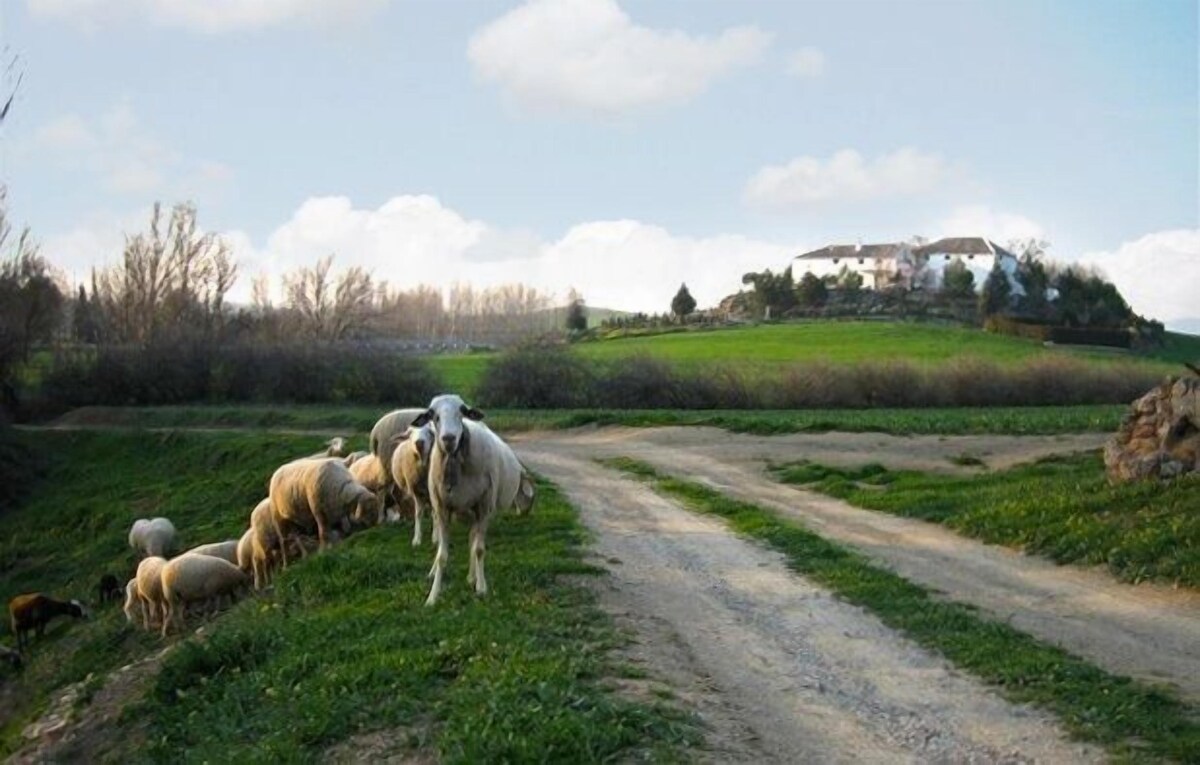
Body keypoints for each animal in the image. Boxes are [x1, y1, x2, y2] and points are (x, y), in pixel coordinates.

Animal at [410, 395, 528, 604]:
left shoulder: (483, 507)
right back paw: (437, 573)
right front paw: (433, 596)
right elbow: (442, 555)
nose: (449, 438)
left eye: (462, 412)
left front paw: (481, 588)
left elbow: (478, 549)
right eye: (433, 415)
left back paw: (472, 577)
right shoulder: (442, 509)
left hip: (479, 511)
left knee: (473, 542)